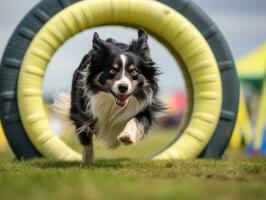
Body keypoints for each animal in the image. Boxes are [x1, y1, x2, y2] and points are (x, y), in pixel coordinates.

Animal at [53, 29, 163, 164]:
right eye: (112, 71)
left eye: (134, 72)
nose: (123, 87)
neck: (113, 103)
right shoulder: (81, 111)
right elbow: (86, 137)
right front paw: (87, 160)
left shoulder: (145, 107)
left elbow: (136, 120)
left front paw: (126, 136)